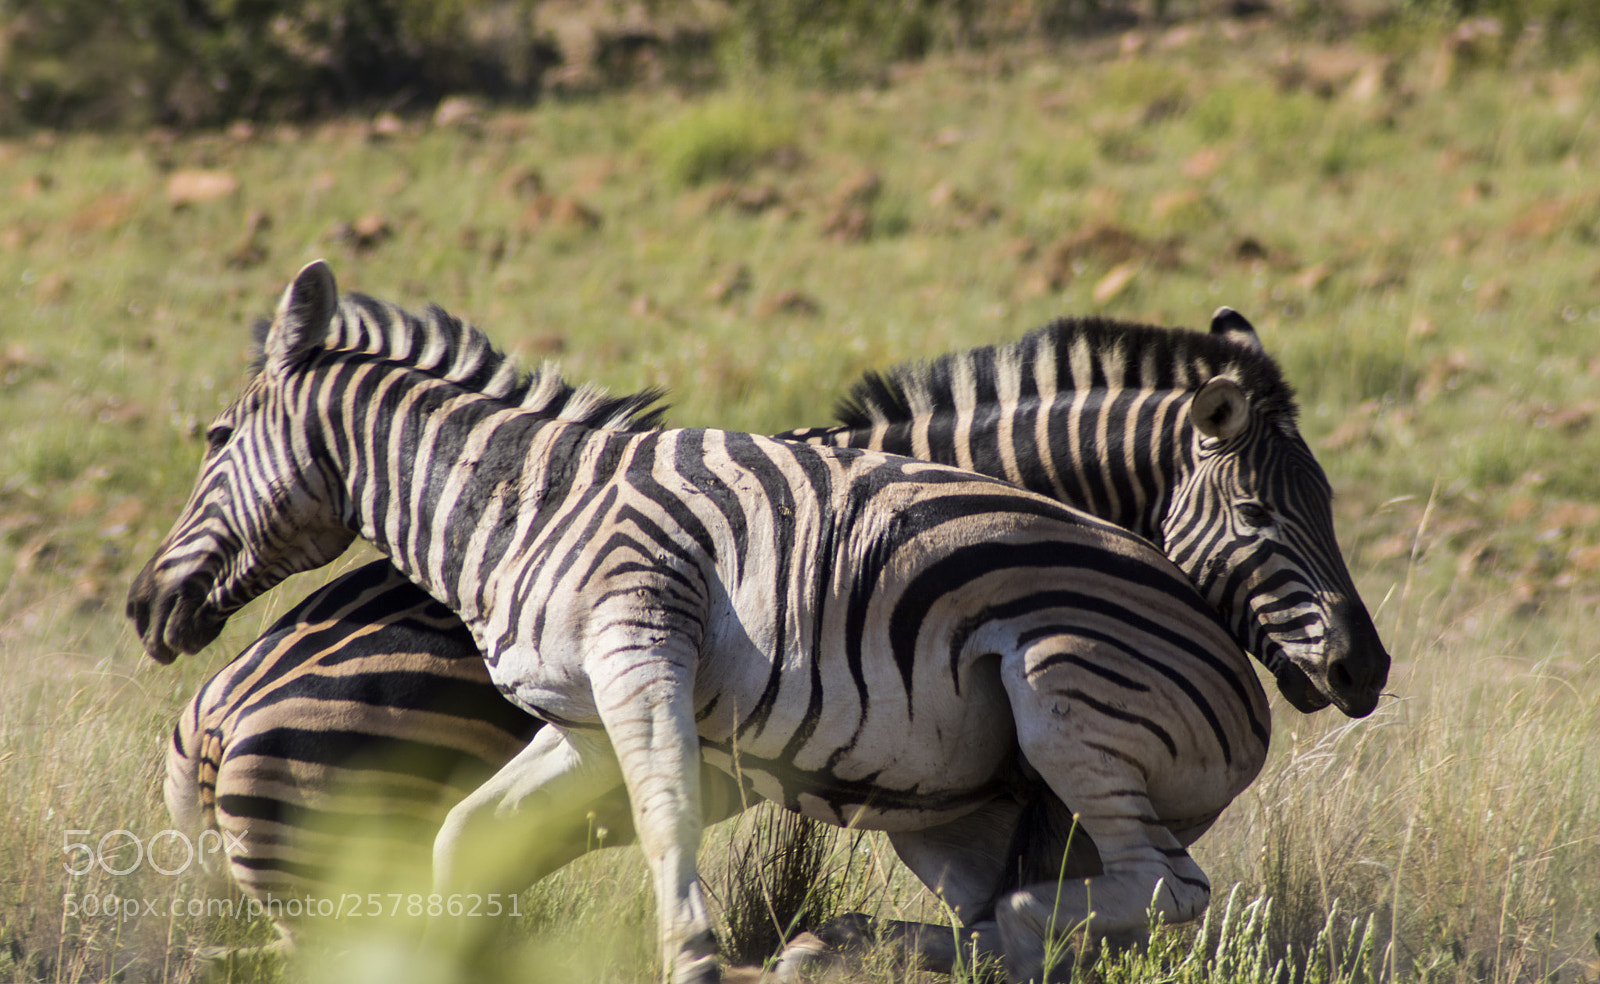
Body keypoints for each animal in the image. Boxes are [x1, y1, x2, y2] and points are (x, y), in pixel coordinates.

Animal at [130, 260, 1283, 982]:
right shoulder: (584, 719)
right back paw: (867, 947)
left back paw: (955, 937)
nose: (144, 606)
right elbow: (477, 837)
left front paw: (694, 960)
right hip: (958, 801)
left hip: (1062, 695)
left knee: (1158, 891)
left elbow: (667, 816)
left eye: (215, 436)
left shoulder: (645, 645)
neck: (533, 504)